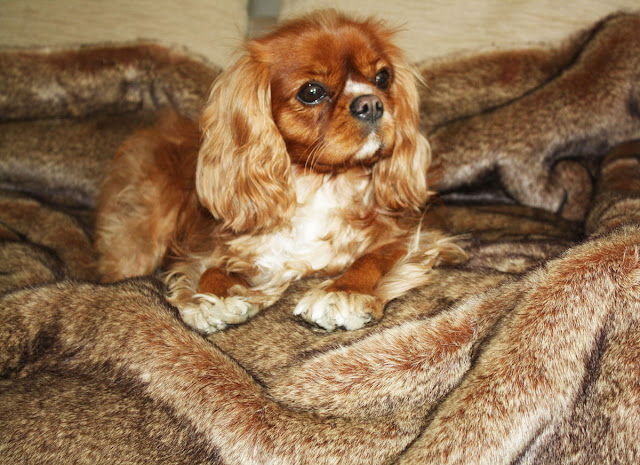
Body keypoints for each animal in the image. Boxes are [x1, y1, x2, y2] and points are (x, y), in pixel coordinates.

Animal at [94, 10, 464, 334]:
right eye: (311, 92)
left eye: (382, 78)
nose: (371, 102)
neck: (321, 181)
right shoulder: (210, 246)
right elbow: (212, 266)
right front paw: (214, 298)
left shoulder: (411, 234)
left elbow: (374, 257)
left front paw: (342, 292)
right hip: (141, 233)